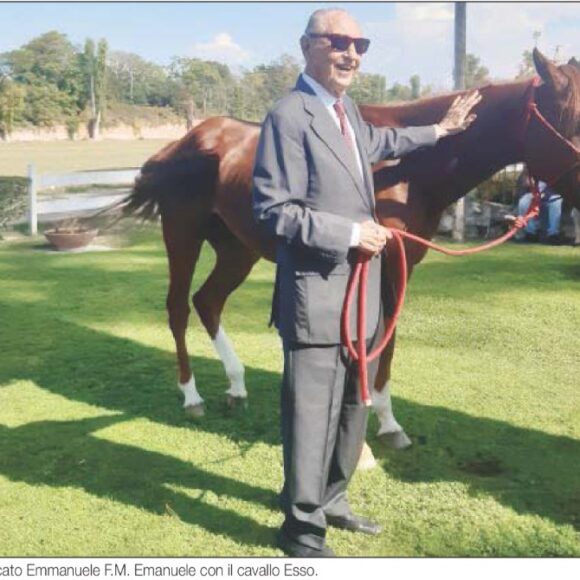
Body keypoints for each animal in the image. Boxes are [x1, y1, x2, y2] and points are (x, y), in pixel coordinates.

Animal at [125, 49, 580, 450]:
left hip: (238, 249)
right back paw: (192, 396)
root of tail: (186, 141)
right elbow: (378, 339)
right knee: (179, 306)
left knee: (208, 301)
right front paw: (383, 422)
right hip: (182, 234)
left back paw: (236, 387)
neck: (409, 171)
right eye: (574, 120)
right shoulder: (385, 263)